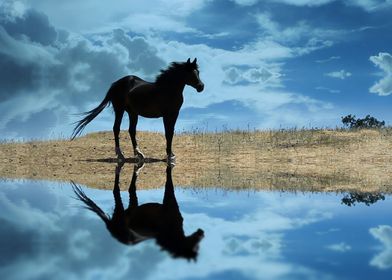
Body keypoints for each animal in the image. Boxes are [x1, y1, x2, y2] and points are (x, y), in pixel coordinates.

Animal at [71, 57, 205, 162]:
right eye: (191, 73)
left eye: (198, 72)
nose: (201, 87)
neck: (168, 90)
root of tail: (116, 83)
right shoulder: (167, 115)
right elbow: (168, 133)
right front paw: (169, 156)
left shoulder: (174, 114)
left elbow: (170, 133)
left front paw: (171, 154)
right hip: (119, 110)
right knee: (116, 129)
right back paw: (120, 155)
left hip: (133, 113)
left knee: (131, 131)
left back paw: (139, 154)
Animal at [71, 163, 205, 262]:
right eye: (195, 247)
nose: (201, 232)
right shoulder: (169, 202)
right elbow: (169, 184)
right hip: (121, 212)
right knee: (118, 192)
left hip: (131, 208)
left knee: (130, 192)